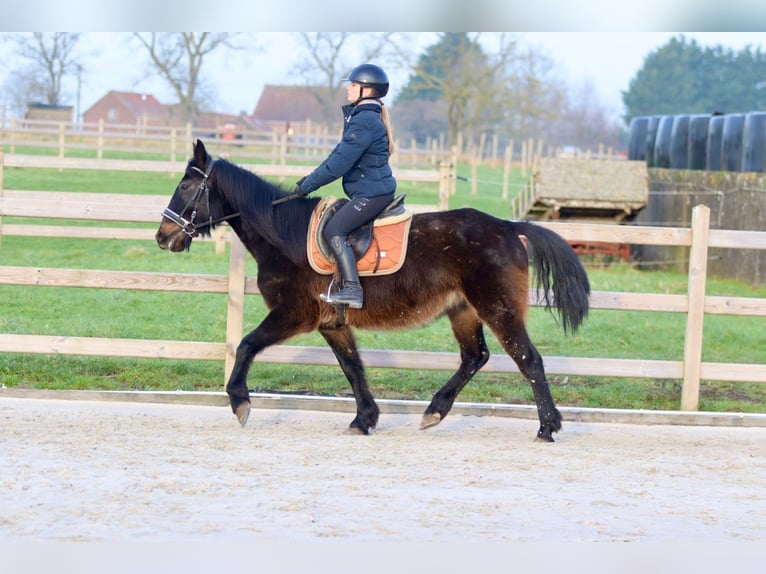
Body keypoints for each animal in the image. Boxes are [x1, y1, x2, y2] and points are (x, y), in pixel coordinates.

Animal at [154, 141, 588, 446]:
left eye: (187, 186)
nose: (162, 236)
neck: (284, 235)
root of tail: (508, 226)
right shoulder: (332, 322)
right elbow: (352, 367)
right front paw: (364, 418)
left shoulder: (293, 315)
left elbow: (246, 345)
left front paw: (239, 401)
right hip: (463, 310)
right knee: (474, 357)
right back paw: (435, 411)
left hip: (497, 309)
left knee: (528, 360)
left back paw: (547, 427)